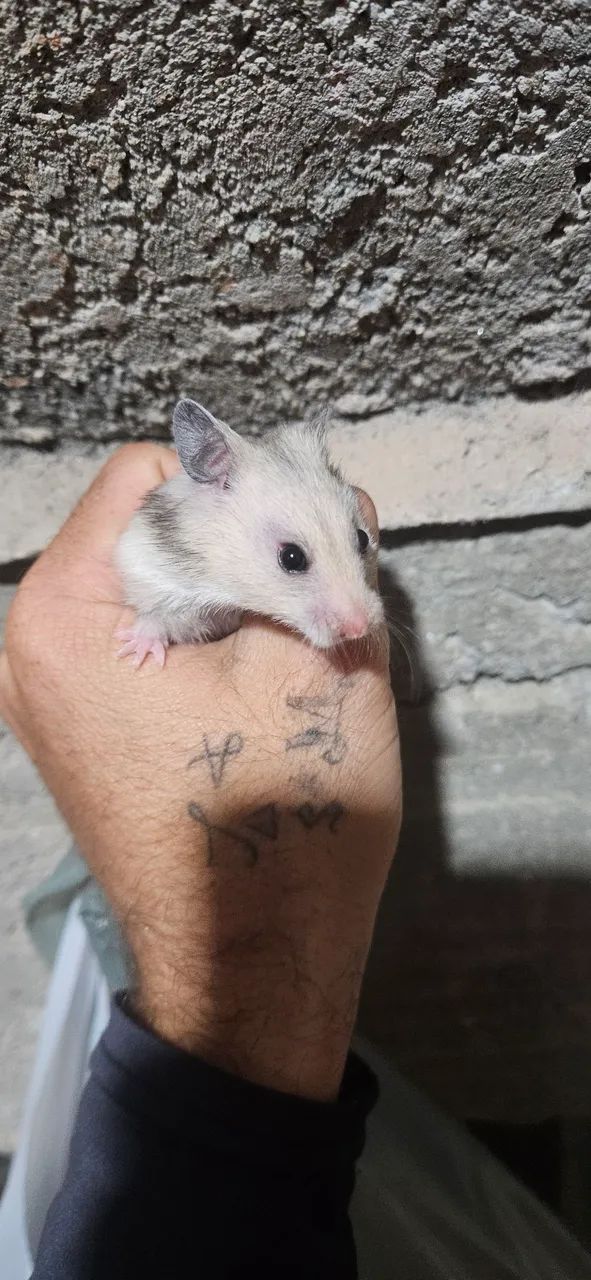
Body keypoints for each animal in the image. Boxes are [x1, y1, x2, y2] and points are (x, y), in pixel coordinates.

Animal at [115, 399, 384, 667]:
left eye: (363, 538)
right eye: (291, 557)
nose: (359, 629)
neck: (227, 588)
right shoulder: (151, 574)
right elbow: (155, 618)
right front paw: (135, 653)